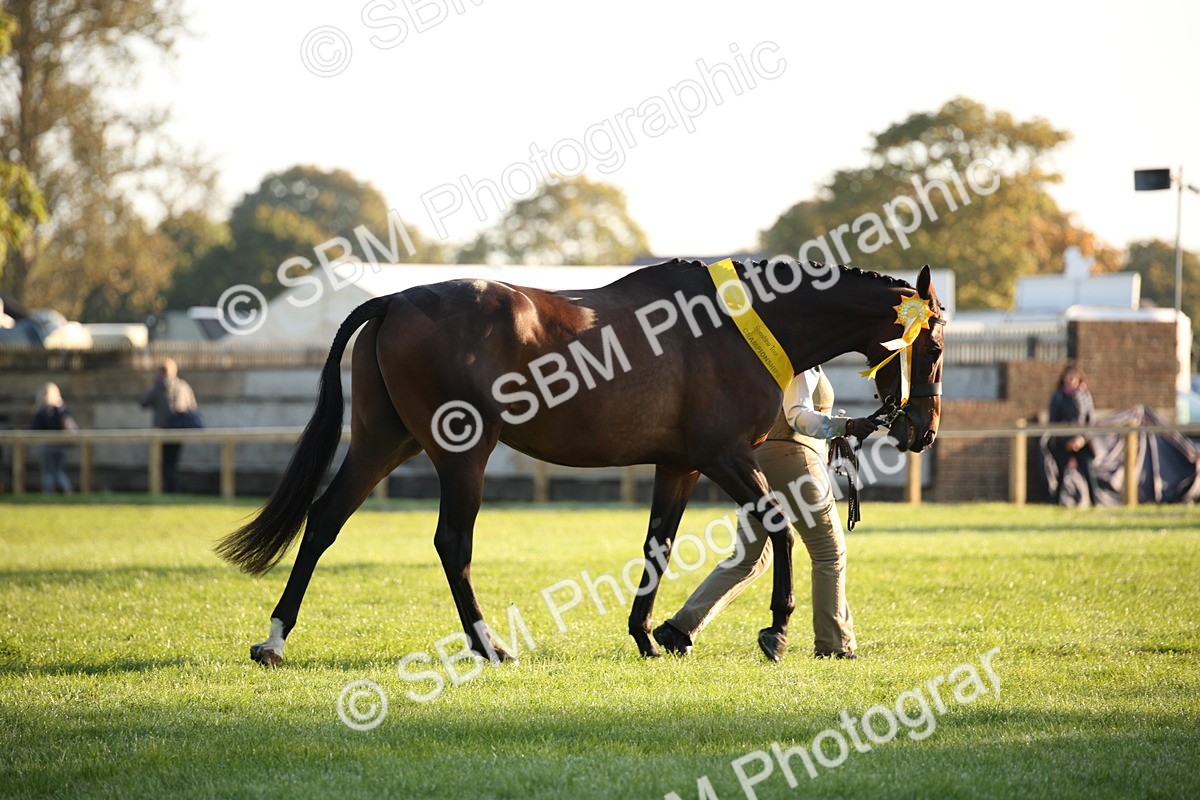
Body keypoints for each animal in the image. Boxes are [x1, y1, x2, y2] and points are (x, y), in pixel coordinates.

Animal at [215, 257, 945, 665]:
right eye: (934, 346)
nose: (922, 430)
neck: (744, 325)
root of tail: (393, 299)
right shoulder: (725, 455)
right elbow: (780, 532)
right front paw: (776, 631)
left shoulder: (679, 465)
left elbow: (658, 545)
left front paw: (649, 636)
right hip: (462, 452)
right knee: (451, 542)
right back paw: (489, 645)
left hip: (382, 440)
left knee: (324, 521)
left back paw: (274, 640)